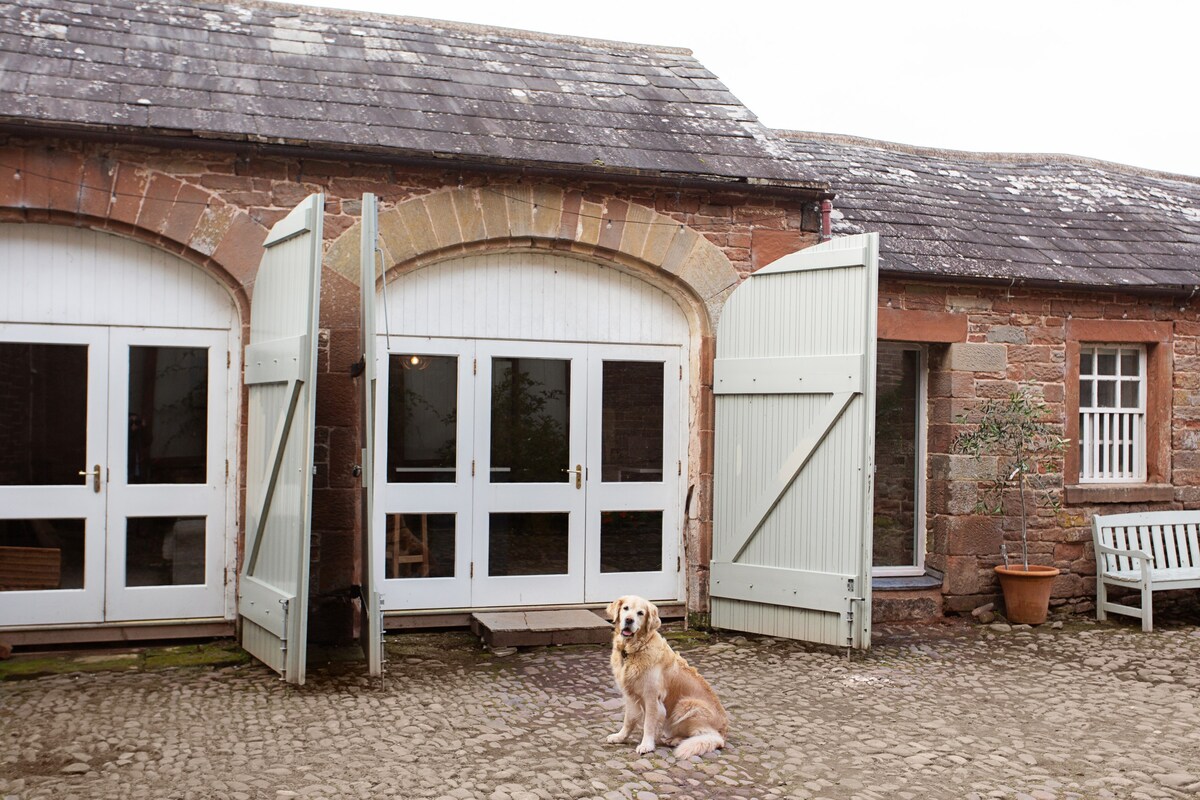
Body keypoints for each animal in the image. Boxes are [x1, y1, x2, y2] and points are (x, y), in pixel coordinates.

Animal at [604, 594, 724, 758]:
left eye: (640, 613)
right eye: (625, 608)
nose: (629, 620)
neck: (634, 650)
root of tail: (723, 733)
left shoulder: (652, 697)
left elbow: (648, 723)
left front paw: (646, 745)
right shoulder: (630, 695)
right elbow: (629, 720)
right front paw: (620, 737)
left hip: (686, 705)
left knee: (703, 735)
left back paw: (675, 740)